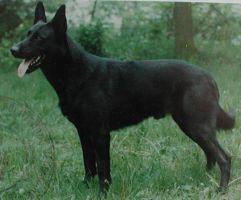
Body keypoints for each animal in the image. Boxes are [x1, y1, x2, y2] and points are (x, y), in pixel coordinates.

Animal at [10, 1, 234, 194]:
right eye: (27, 34)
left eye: (39, 38)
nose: (13, 49)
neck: (76, 72)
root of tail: (209, 78)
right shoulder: (83, 132)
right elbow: (88, 164)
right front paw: (85, 187)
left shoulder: (100, 133)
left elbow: (103, 168)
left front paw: (102, 192)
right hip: (191, 125)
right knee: (211, 154)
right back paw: (204, 178)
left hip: (196, 126)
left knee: (224, 158)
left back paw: (221, 189)